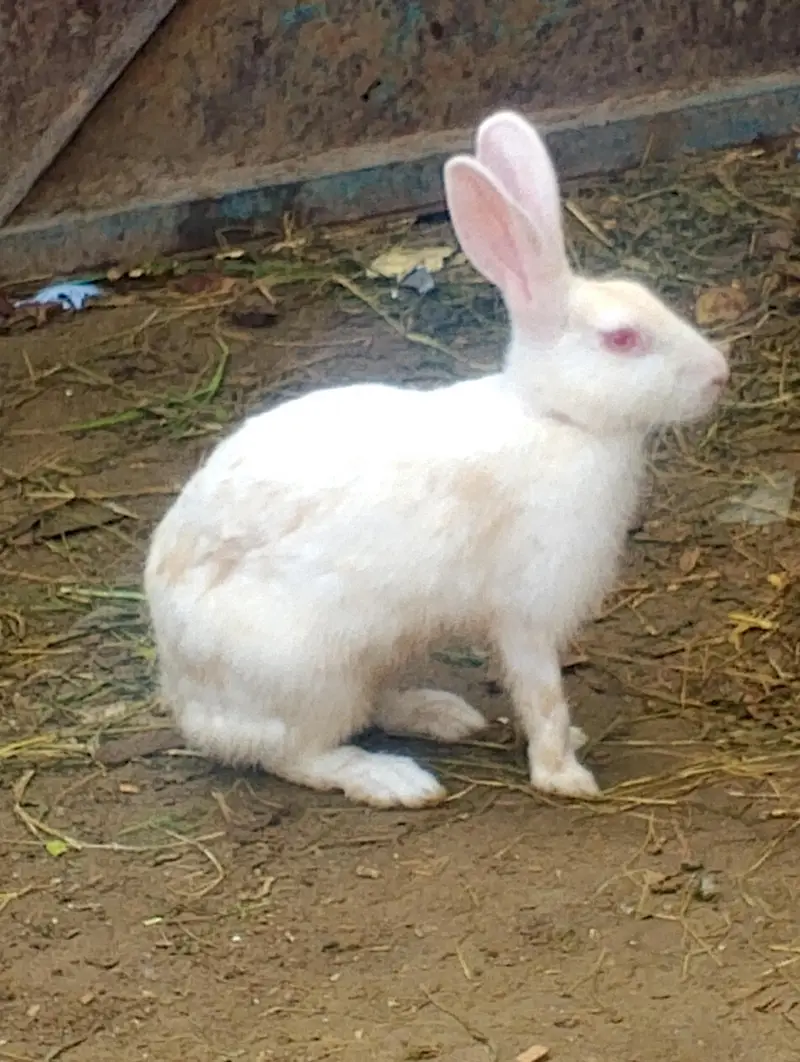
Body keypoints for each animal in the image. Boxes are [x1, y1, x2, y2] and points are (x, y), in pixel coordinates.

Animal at [144, 109, 728, 809]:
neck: (553, 414)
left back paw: (442, 714)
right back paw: (393, 779)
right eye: (621, 339)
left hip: (377, 654)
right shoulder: (527, 612)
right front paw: (564, 774)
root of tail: (188, 702)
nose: (719, 374)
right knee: (297, 753)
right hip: (306, 672)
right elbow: (542, 694)